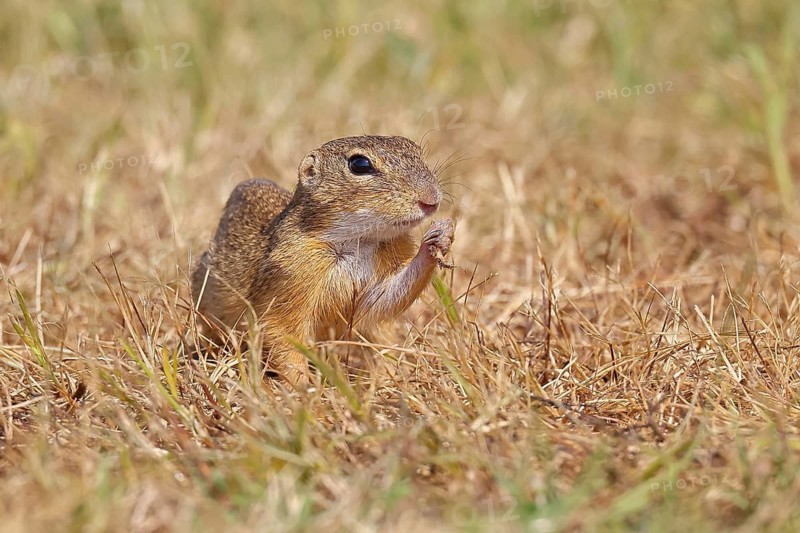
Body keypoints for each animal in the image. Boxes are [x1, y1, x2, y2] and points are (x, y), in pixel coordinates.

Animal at [191, 135, 455, 385]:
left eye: (414, 149)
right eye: (360, 164)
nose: (431, 199)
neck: (359, 241)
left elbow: (388, 298)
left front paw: (440, 237)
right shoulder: (291, 275)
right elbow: (281, 335)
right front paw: (303, 388)